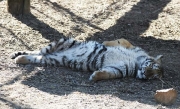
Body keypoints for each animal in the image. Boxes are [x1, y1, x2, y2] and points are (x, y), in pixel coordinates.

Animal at [10, 37, 164, 81]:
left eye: (153, 77)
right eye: (152, 68)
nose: (145, 74)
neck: (137, 63)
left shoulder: (119, 69)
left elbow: (108, 73)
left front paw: (95, 76)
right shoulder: (133, 48)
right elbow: (122, 41)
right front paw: (105, 43)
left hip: (51, 60)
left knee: (37, 56)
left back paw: (20, 58)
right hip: (62, 42)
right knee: (39, 50)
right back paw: (16, 54)